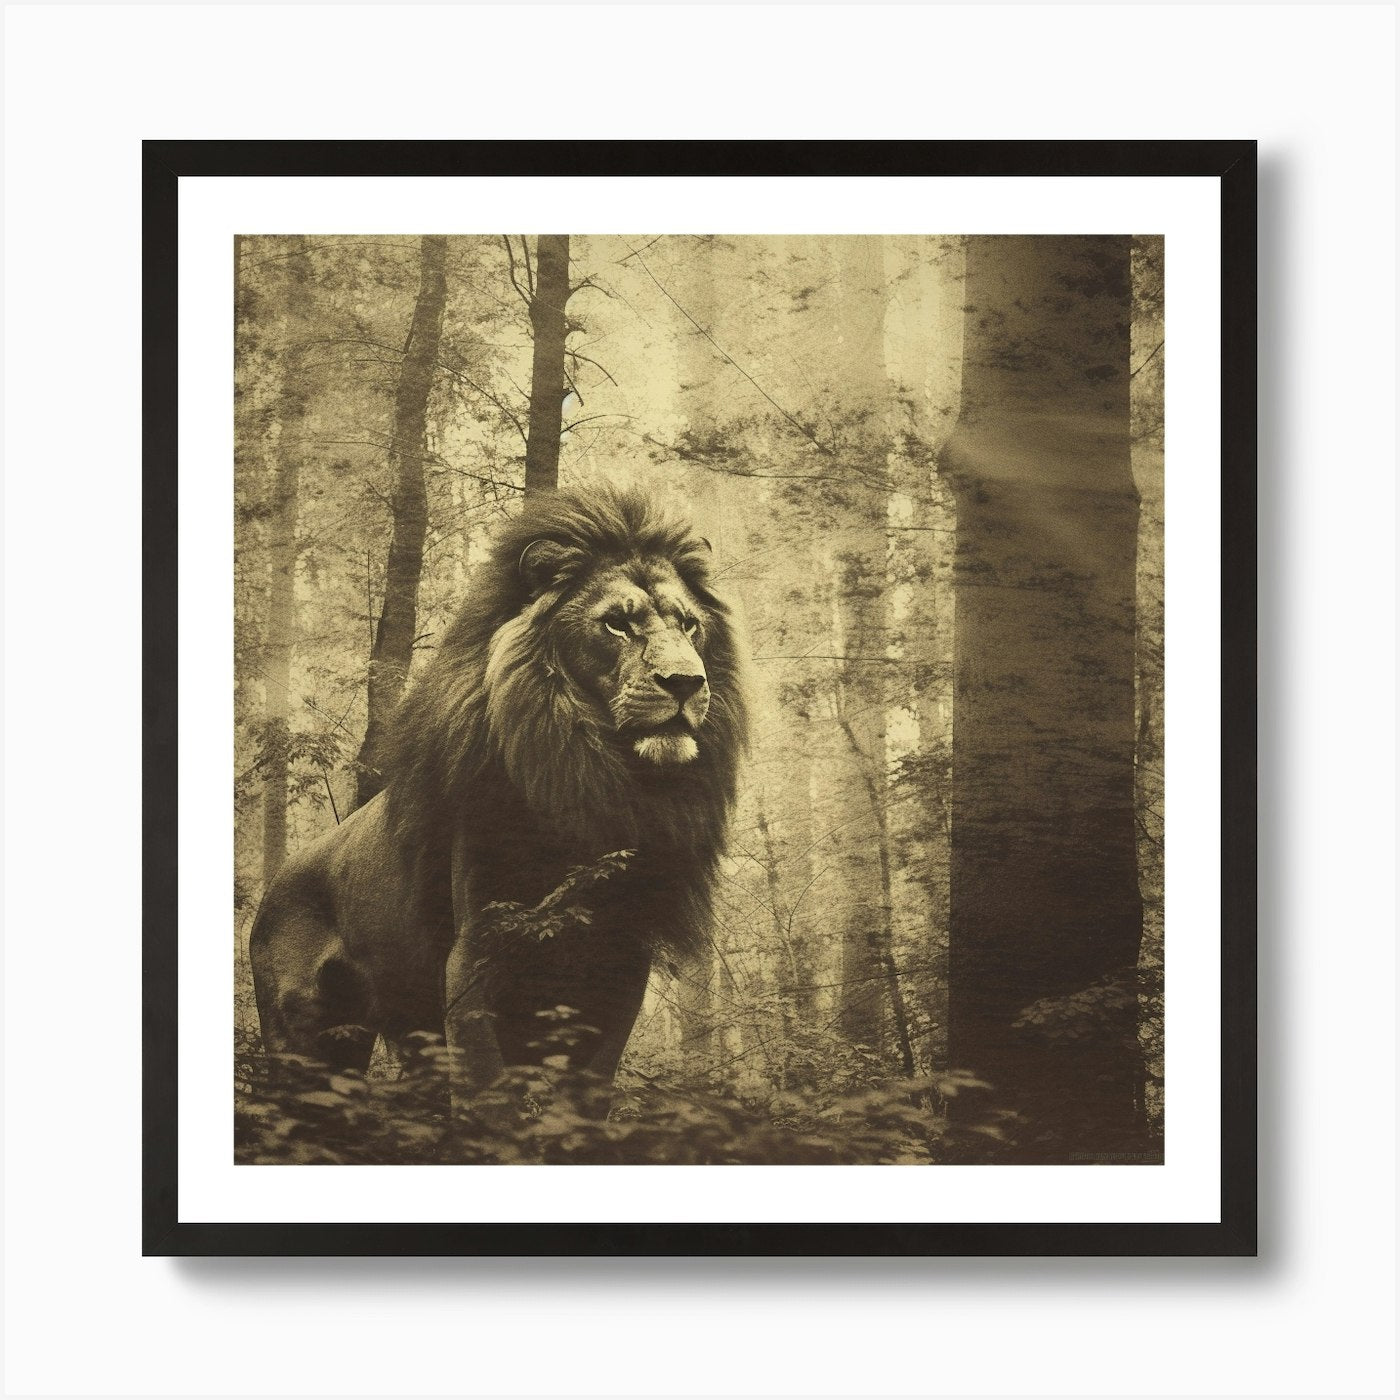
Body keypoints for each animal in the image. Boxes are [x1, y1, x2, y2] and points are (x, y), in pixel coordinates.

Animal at [249, 486, 748, 1107]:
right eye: (616, 624)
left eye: (689, 625)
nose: (686, 682)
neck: (598, 787)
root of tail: (271, 889)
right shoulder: (475, 955)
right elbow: (489, 1095)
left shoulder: (620, 964)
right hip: (302, 1036)